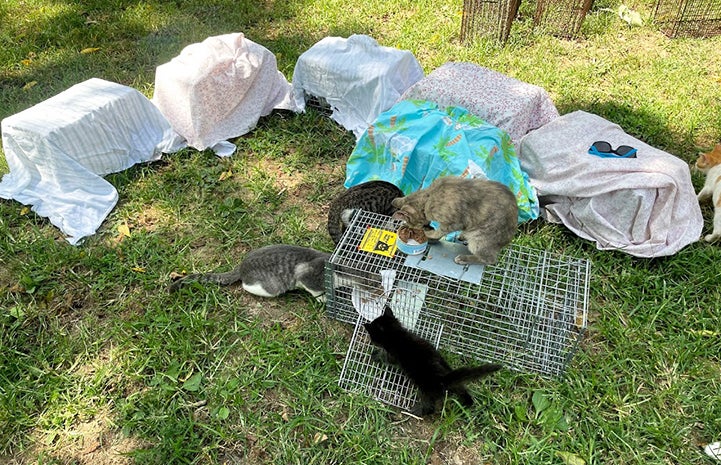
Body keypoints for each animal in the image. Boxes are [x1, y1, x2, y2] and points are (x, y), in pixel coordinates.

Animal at [169, 243, 330, 300]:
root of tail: (241, 266)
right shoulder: (307, 275)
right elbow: (314, 289)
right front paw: (322, 298)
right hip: (272, 286)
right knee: (247, 286)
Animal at [362, 306, 498, 416]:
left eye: (372, 336)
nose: (371, 341)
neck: (398, 335)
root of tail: (444, 378)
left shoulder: (392, 355)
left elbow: (385, 358)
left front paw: (375, 355)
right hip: (451, 374)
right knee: (461, 388)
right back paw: (468, 403)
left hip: (427, 391)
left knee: (430, 408)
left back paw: (415, 412)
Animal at [388, 175, 516, 264]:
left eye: (412, 225)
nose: (427, 227)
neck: (429, 196)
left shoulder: (455, 223)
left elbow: (439, 232)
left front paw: (429, 234)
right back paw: (462, 236)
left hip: (479, 239)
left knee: (490, 259)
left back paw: (463, 258)